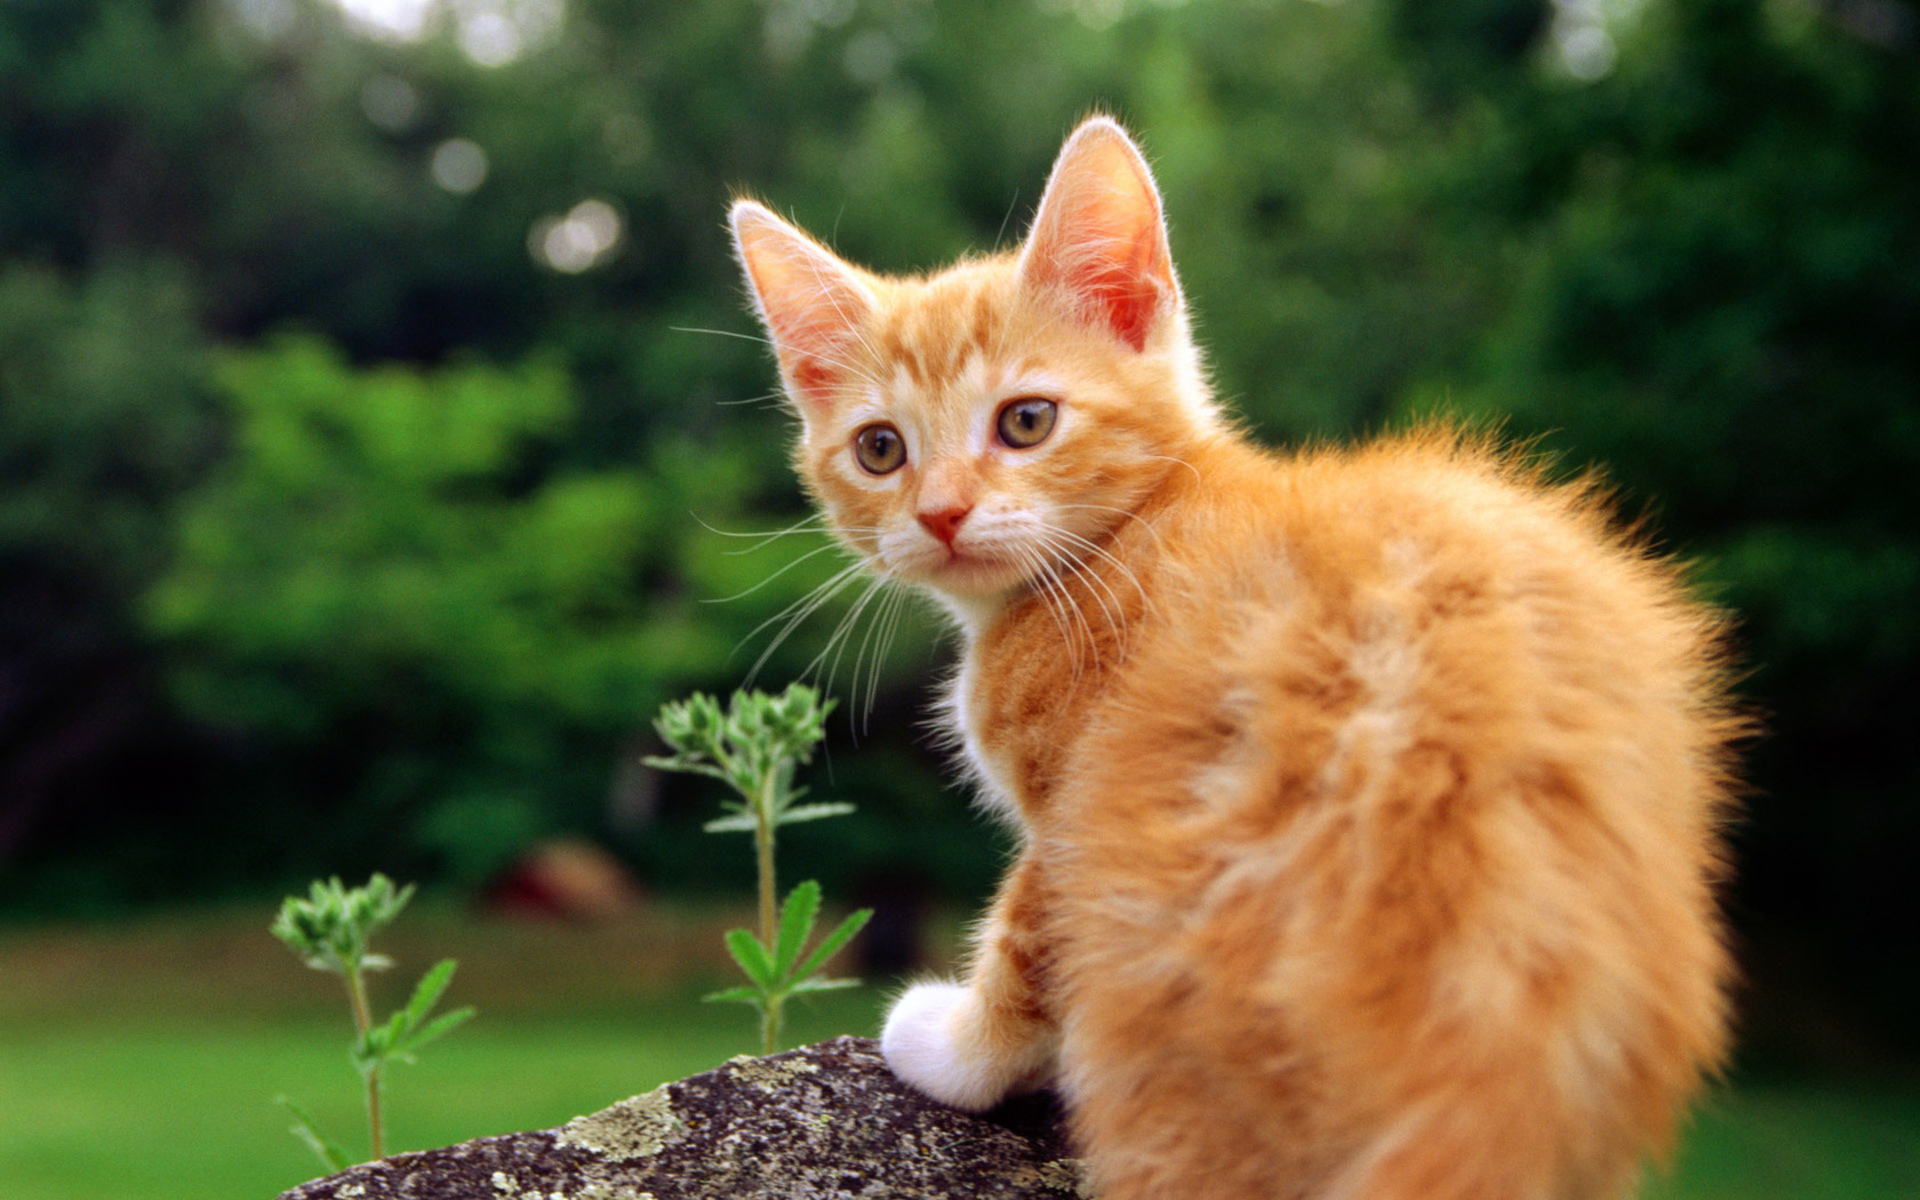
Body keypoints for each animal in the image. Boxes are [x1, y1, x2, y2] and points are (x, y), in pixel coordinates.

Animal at [721, 119, 1743, 1198]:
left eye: (1026, 421)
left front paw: (959, 1053)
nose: (943, 514)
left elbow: (1031, 929)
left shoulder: (1075, 802)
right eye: (880, 449)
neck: (1129, 533)